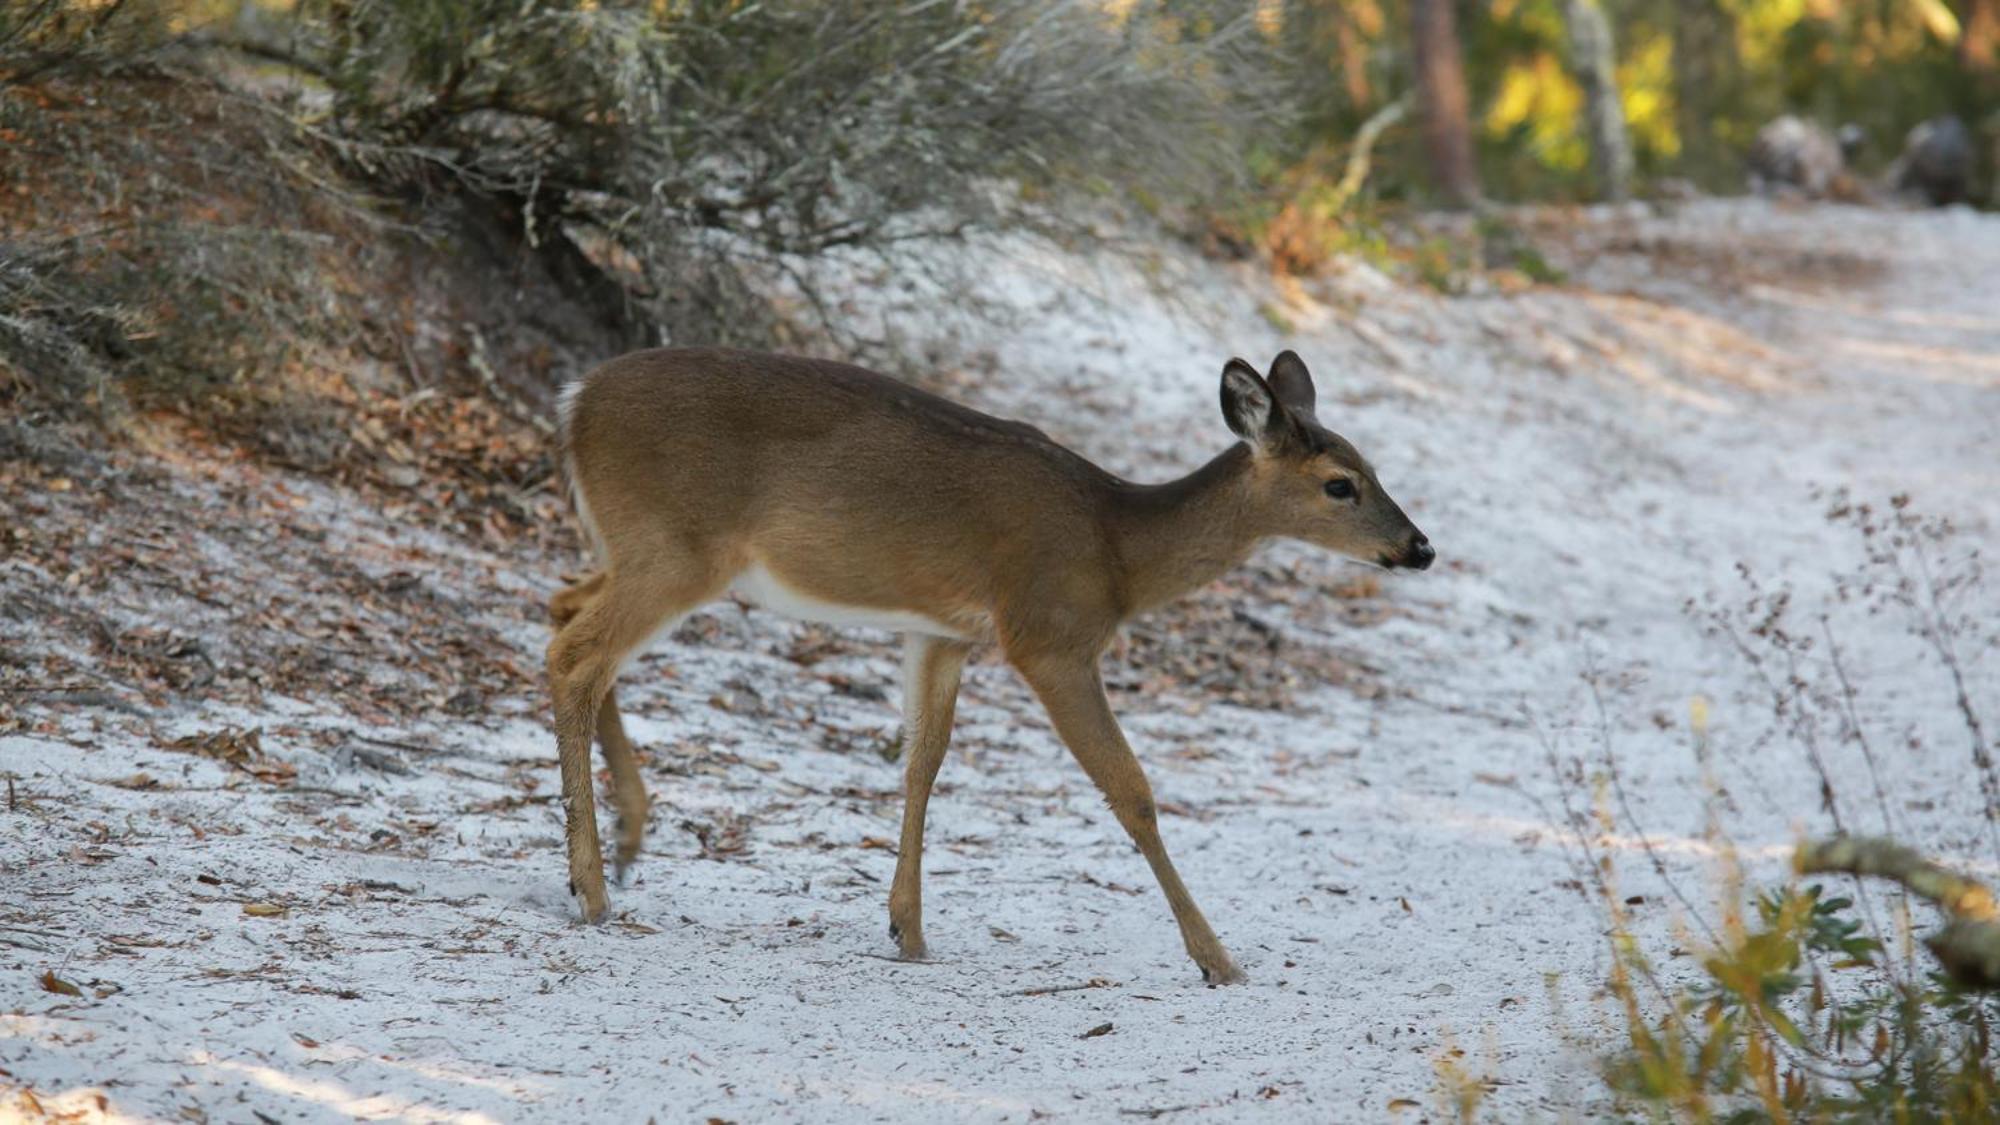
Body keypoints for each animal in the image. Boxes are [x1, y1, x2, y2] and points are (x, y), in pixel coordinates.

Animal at [540, 344, 1432, 980]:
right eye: (1340, 483)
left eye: (1375, 468)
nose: (1420, 547)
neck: (1118, 550)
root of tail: (574, 400)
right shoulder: (1049, 635)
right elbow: (1132, 790)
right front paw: (1218, 958)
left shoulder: (942, 631)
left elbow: (923, 761)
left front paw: (907, 927)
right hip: (676, 545)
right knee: (576, 654)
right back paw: (592, 885)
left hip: (636, 546)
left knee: (563, 607)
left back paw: (628, 839)